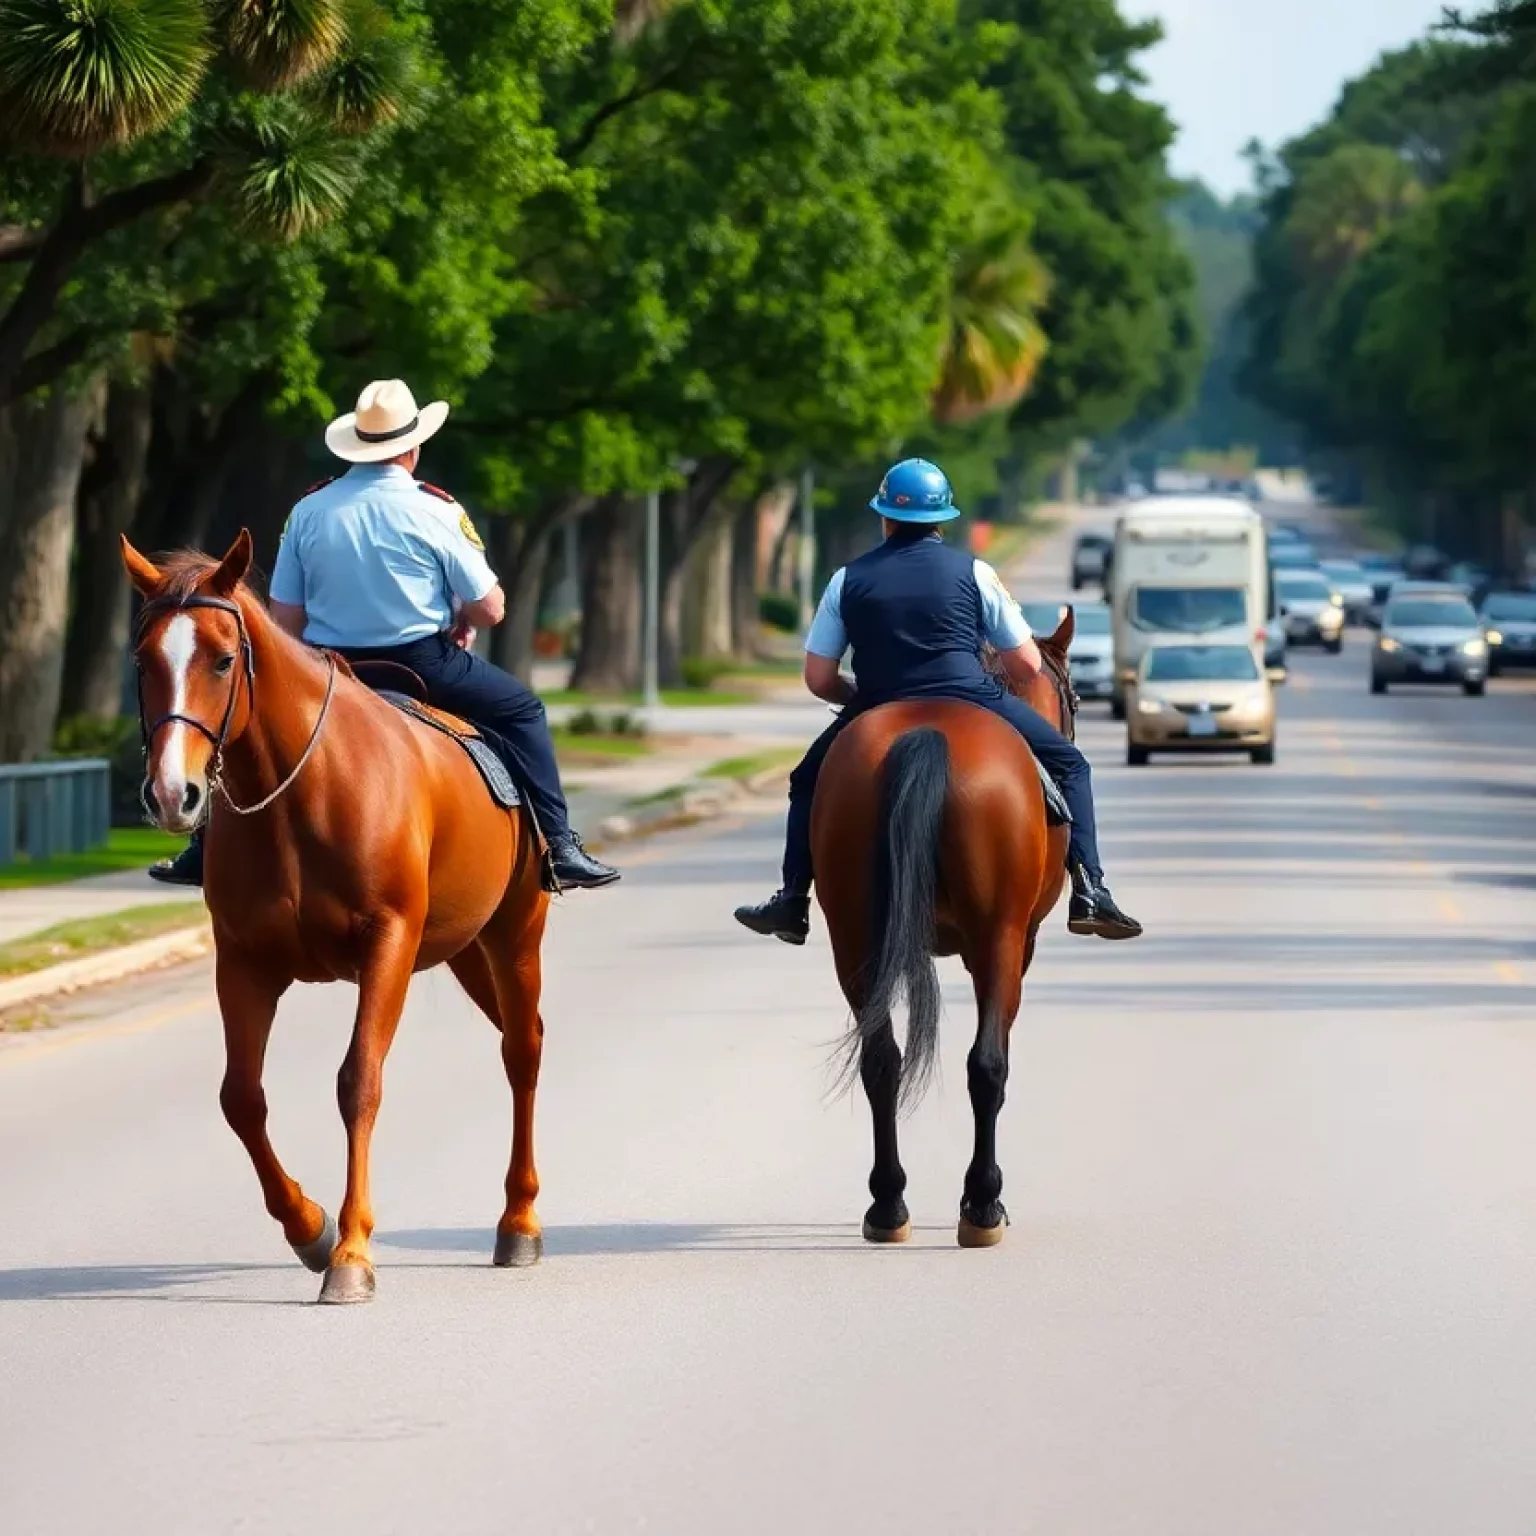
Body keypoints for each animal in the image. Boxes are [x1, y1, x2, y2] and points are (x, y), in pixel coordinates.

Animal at [122, 528, 549, 1296]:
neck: (300, 790)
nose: (173, 794)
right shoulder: (244, 962)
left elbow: (359, 1082)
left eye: (223, 659)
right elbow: (241, 1097)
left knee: (522, 1052)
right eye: (144, 663)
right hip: (468, 951)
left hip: (514, 935)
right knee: (513, 1040)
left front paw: (351, 1251)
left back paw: (520, 1220)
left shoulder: (388, 946)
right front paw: (310, 1229)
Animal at [811, 608, 1075, 1247]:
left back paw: (888, 1205)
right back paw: (982, 1204)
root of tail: (926, 732)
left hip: (853, 937)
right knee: (987, 1065)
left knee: (881, 1060)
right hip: (998, 938)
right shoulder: (1020, 943)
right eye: (1075, 696)